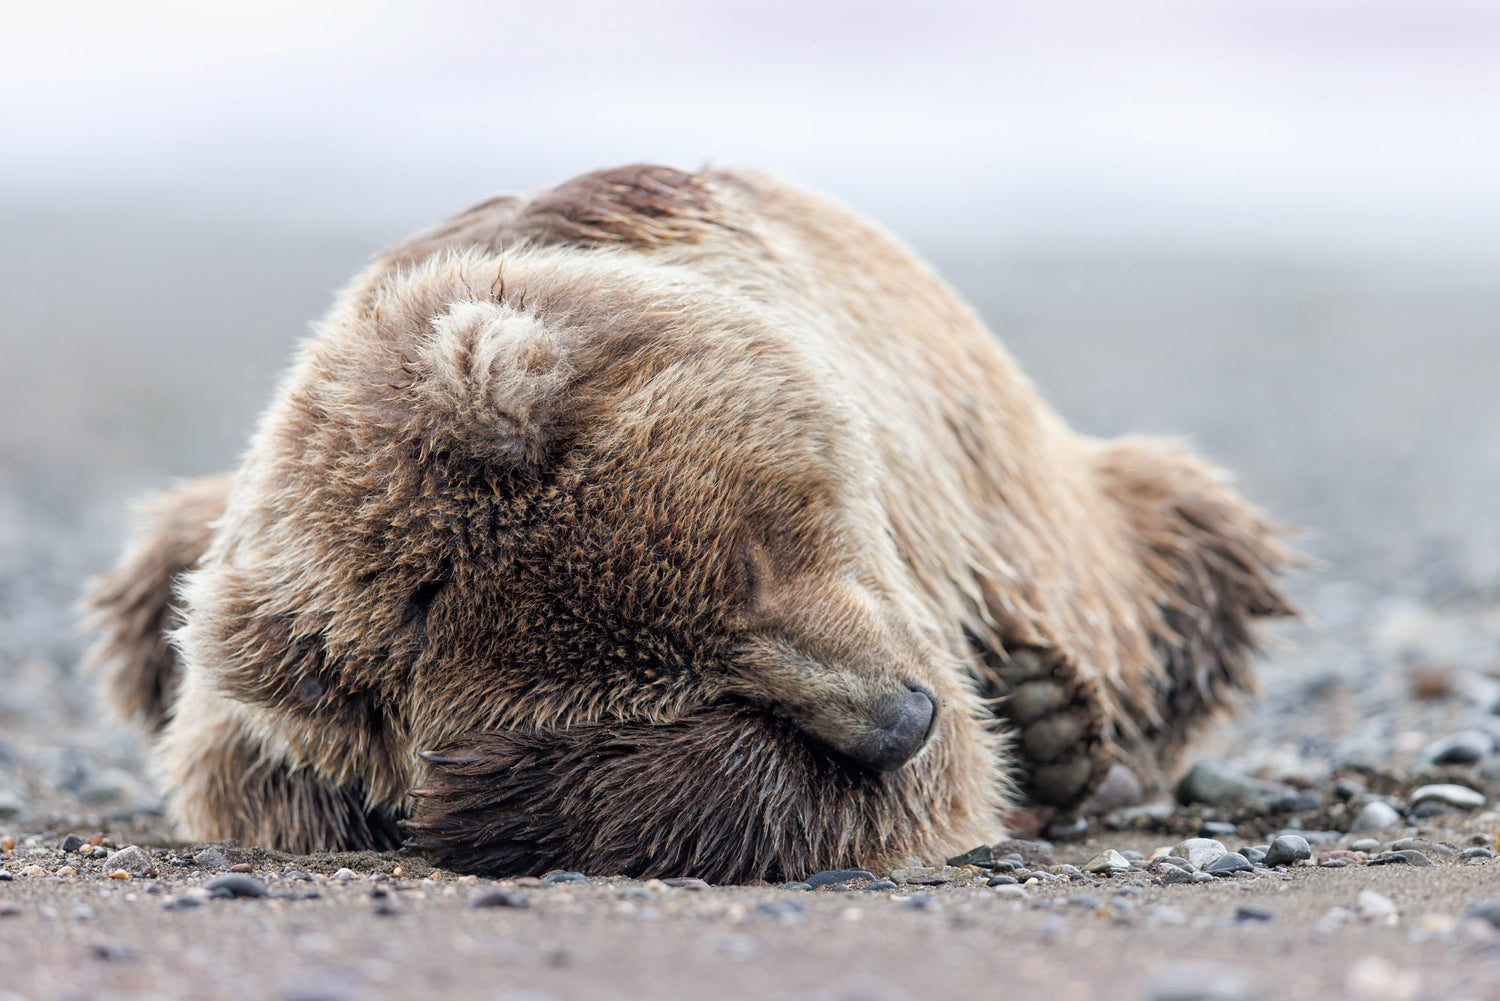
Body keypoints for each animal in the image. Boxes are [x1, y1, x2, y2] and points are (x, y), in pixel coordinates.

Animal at [79, 164, 1290, 882]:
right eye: (682, 684)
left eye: (753, 555)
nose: (900, 717)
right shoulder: (256, 725)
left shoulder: (896, 560)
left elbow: (926, 791)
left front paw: (487, 801)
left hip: (1054, 510)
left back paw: (1064, 727)